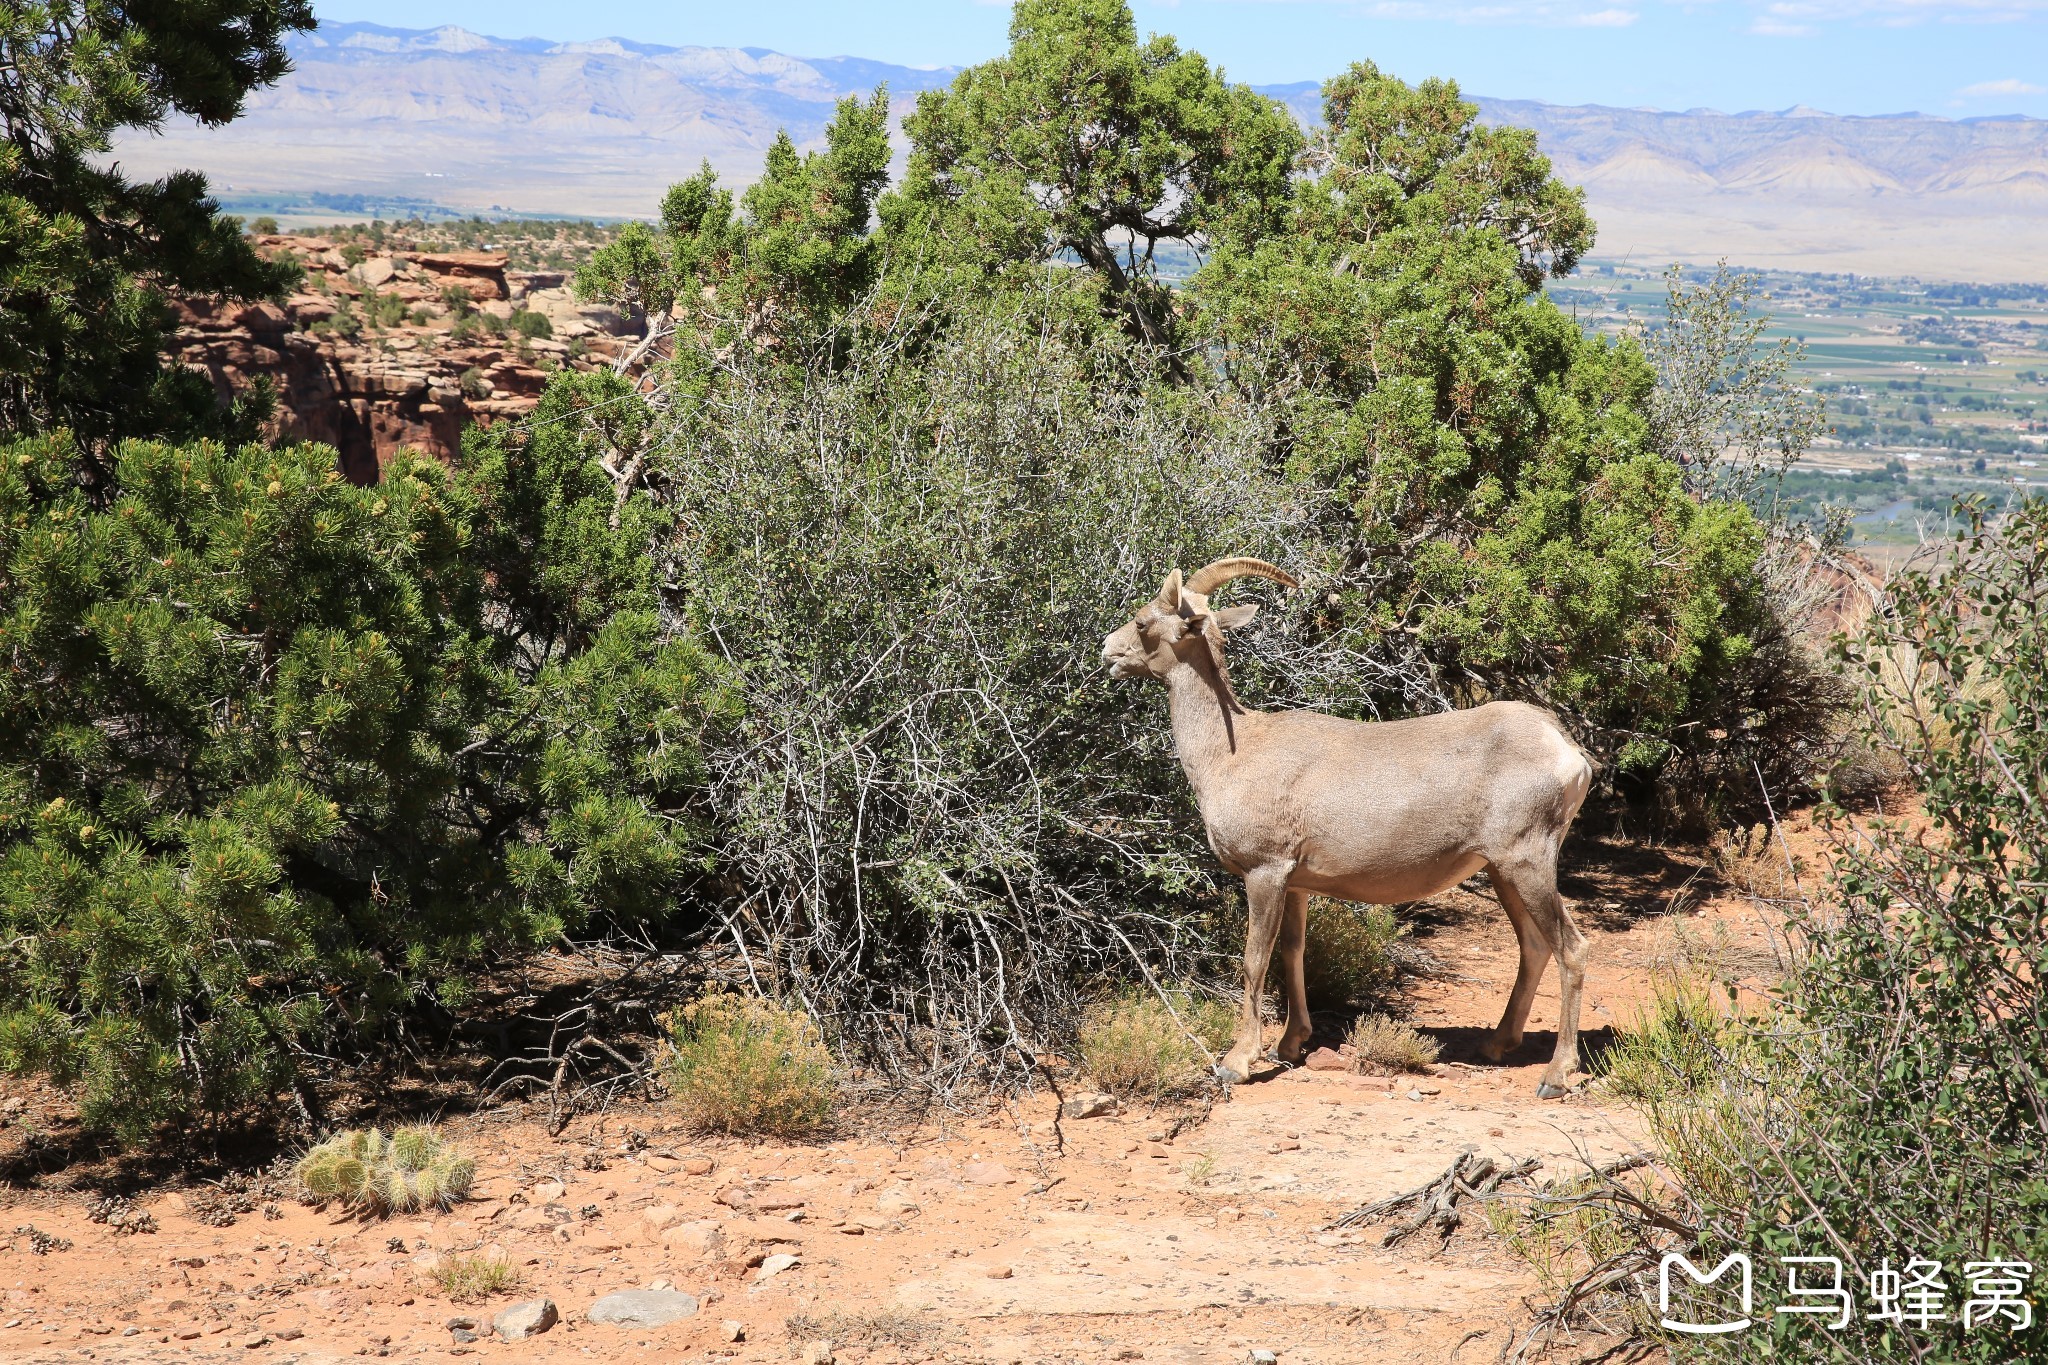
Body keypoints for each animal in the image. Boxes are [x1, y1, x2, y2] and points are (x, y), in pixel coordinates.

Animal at [1105, 556, 1597, 1096]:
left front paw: (1237, 1061)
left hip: (1527, 861)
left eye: (1143, 622)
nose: (1108, 651)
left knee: (1571, 948)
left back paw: (1556, 1074)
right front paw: (1289, 1046)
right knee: (1534, 945)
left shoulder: (1264, 873)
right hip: (1502, 870)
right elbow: (1292, 953)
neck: (1230, 754)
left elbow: (1255, 958)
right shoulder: (1297, 883)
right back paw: (1494, 1046)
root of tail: (1569, 755)